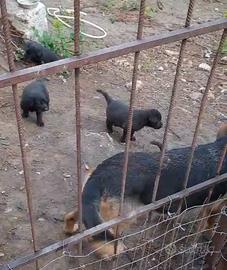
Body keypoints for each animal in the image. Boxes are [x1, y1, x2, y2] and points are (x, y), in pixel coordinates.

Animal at [63, 124, 227, 258]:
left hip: (91, 205)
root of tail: (102, 175)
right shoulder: (213, 206)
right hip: (120, 219)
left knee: (71, 216)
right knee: (96, 238)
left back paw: (70, 229)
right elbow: (207, 225)